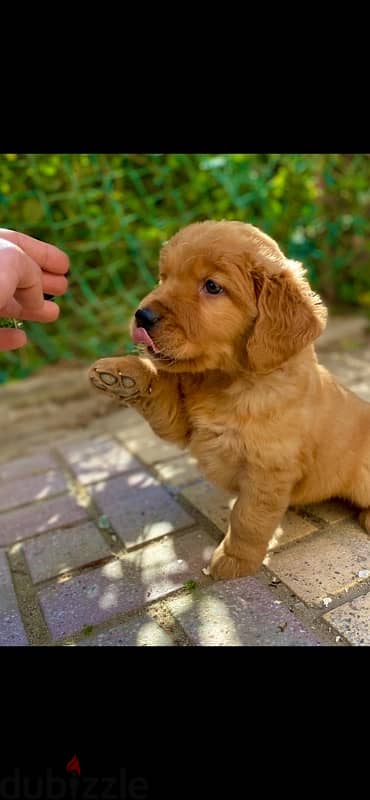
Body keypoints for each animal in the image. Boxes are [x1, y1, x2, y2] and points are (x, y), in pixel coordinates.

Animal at [89, 222, 370, 580]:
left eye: (212, 286)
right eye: (163, 277)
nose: (142, 315)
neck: (223, 381)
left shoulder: (268, 469)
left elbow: (248, 518)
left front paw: (235, 559)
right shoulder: (183, 426)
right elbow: (159, 391)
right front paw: (123, 374)